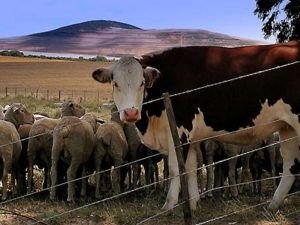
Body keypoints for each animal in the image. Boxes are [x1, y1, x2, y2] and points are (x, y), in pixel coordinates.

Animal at [91, 41, 300, 211]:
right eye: (115, 83)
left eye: (142, 83)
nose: (131, 113)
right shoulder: (190, 138)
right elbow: (191, 168)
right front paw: (193, 204)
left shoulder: (180, 132)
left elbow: (176, 169)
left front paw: (168, 206)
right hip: (287, 128)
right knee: (290, 167)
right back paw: (272, 205)